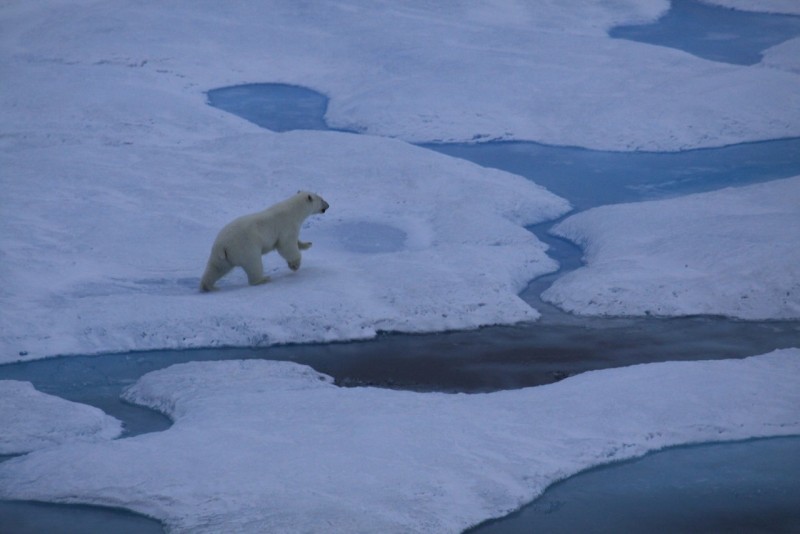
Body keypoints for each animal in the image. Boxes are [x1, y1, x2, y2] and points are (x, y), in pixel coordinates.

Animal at [200, 192, 328, 294]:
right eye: (321, 199)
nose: (328, 205)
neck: (294, 210)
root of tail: (222, 246)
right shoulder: (287, 226)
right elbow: (286, 246)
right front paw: (295, 265)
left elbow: (295, 242)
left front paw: (308, 244)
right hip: (246, 247)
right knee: (254, 264)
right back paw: (264, 279)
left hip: (222, 256)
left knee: (216, 268)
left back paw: (208, 287)